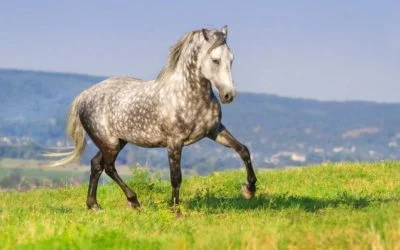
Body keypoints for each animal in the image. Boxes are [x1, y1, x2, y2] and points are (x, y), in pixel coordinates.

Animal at [45, 25, 258, 209]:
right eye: (215, 60)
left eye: (232, 58)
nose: (229, 95)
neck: (187, 95)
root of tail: (84, 96)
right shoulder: (174, 142)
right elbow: (176, 177)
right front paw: (175, 209)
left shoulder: (214, 130)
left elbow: (243, 150)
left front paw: (249, 189)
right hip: (109, 143)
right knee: (108, 167)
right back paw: (133, 201)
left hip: (118, 142)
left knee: (96, 164)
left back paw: (94, 205)